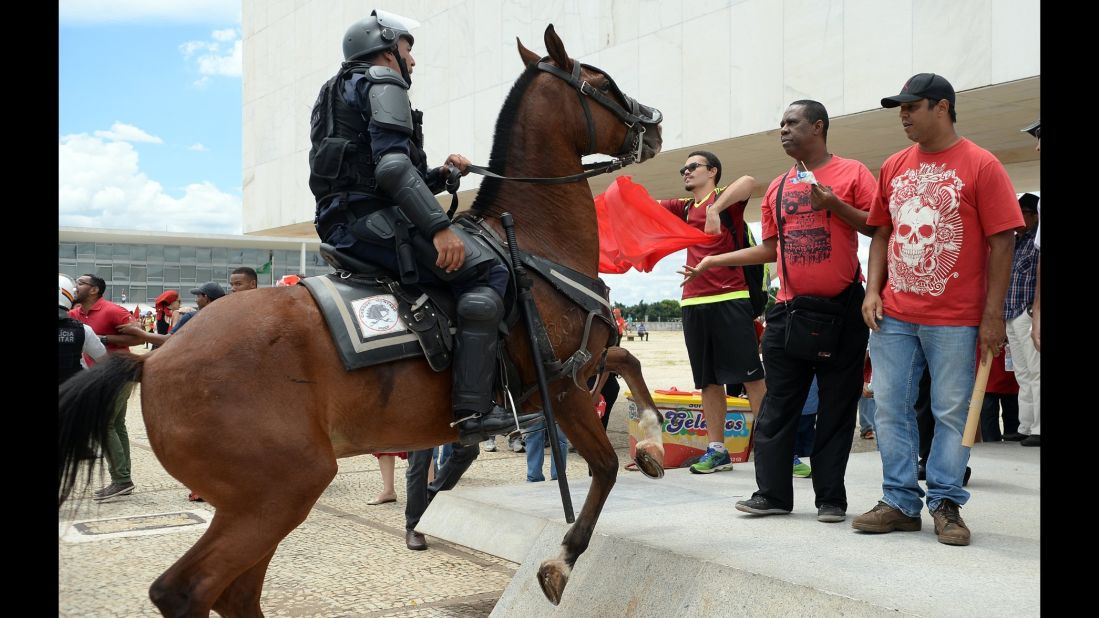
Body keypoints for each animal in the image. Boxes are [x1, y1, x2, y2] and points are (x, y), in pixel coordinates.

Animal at [60, 25, 663, 615]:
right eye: (603, 83)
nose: (654, 123)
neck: (536, 243)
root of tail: (155, 360)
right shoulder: (561, 385)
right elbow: (605, 468)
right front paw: (562, 558)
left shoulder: (578, 371)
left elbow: (627, 358)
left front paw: (654, 441)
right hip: (281, 492)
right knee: (187, 590)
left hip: (264, 502)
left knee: (235, 593)